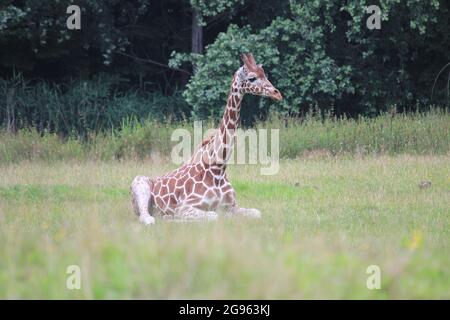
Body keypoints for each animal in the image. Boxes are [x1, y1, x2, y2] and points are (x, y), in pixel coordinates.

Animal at [130, 53, 284, 225]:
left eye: (265, 75)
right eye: (252, 78)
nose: (277, 93)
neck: (218, 168)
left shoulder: (232, 206)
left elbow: (257, 213)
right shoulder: (184, 207)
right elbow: (213, 216)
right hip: (139, 183)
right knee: (147, 217)